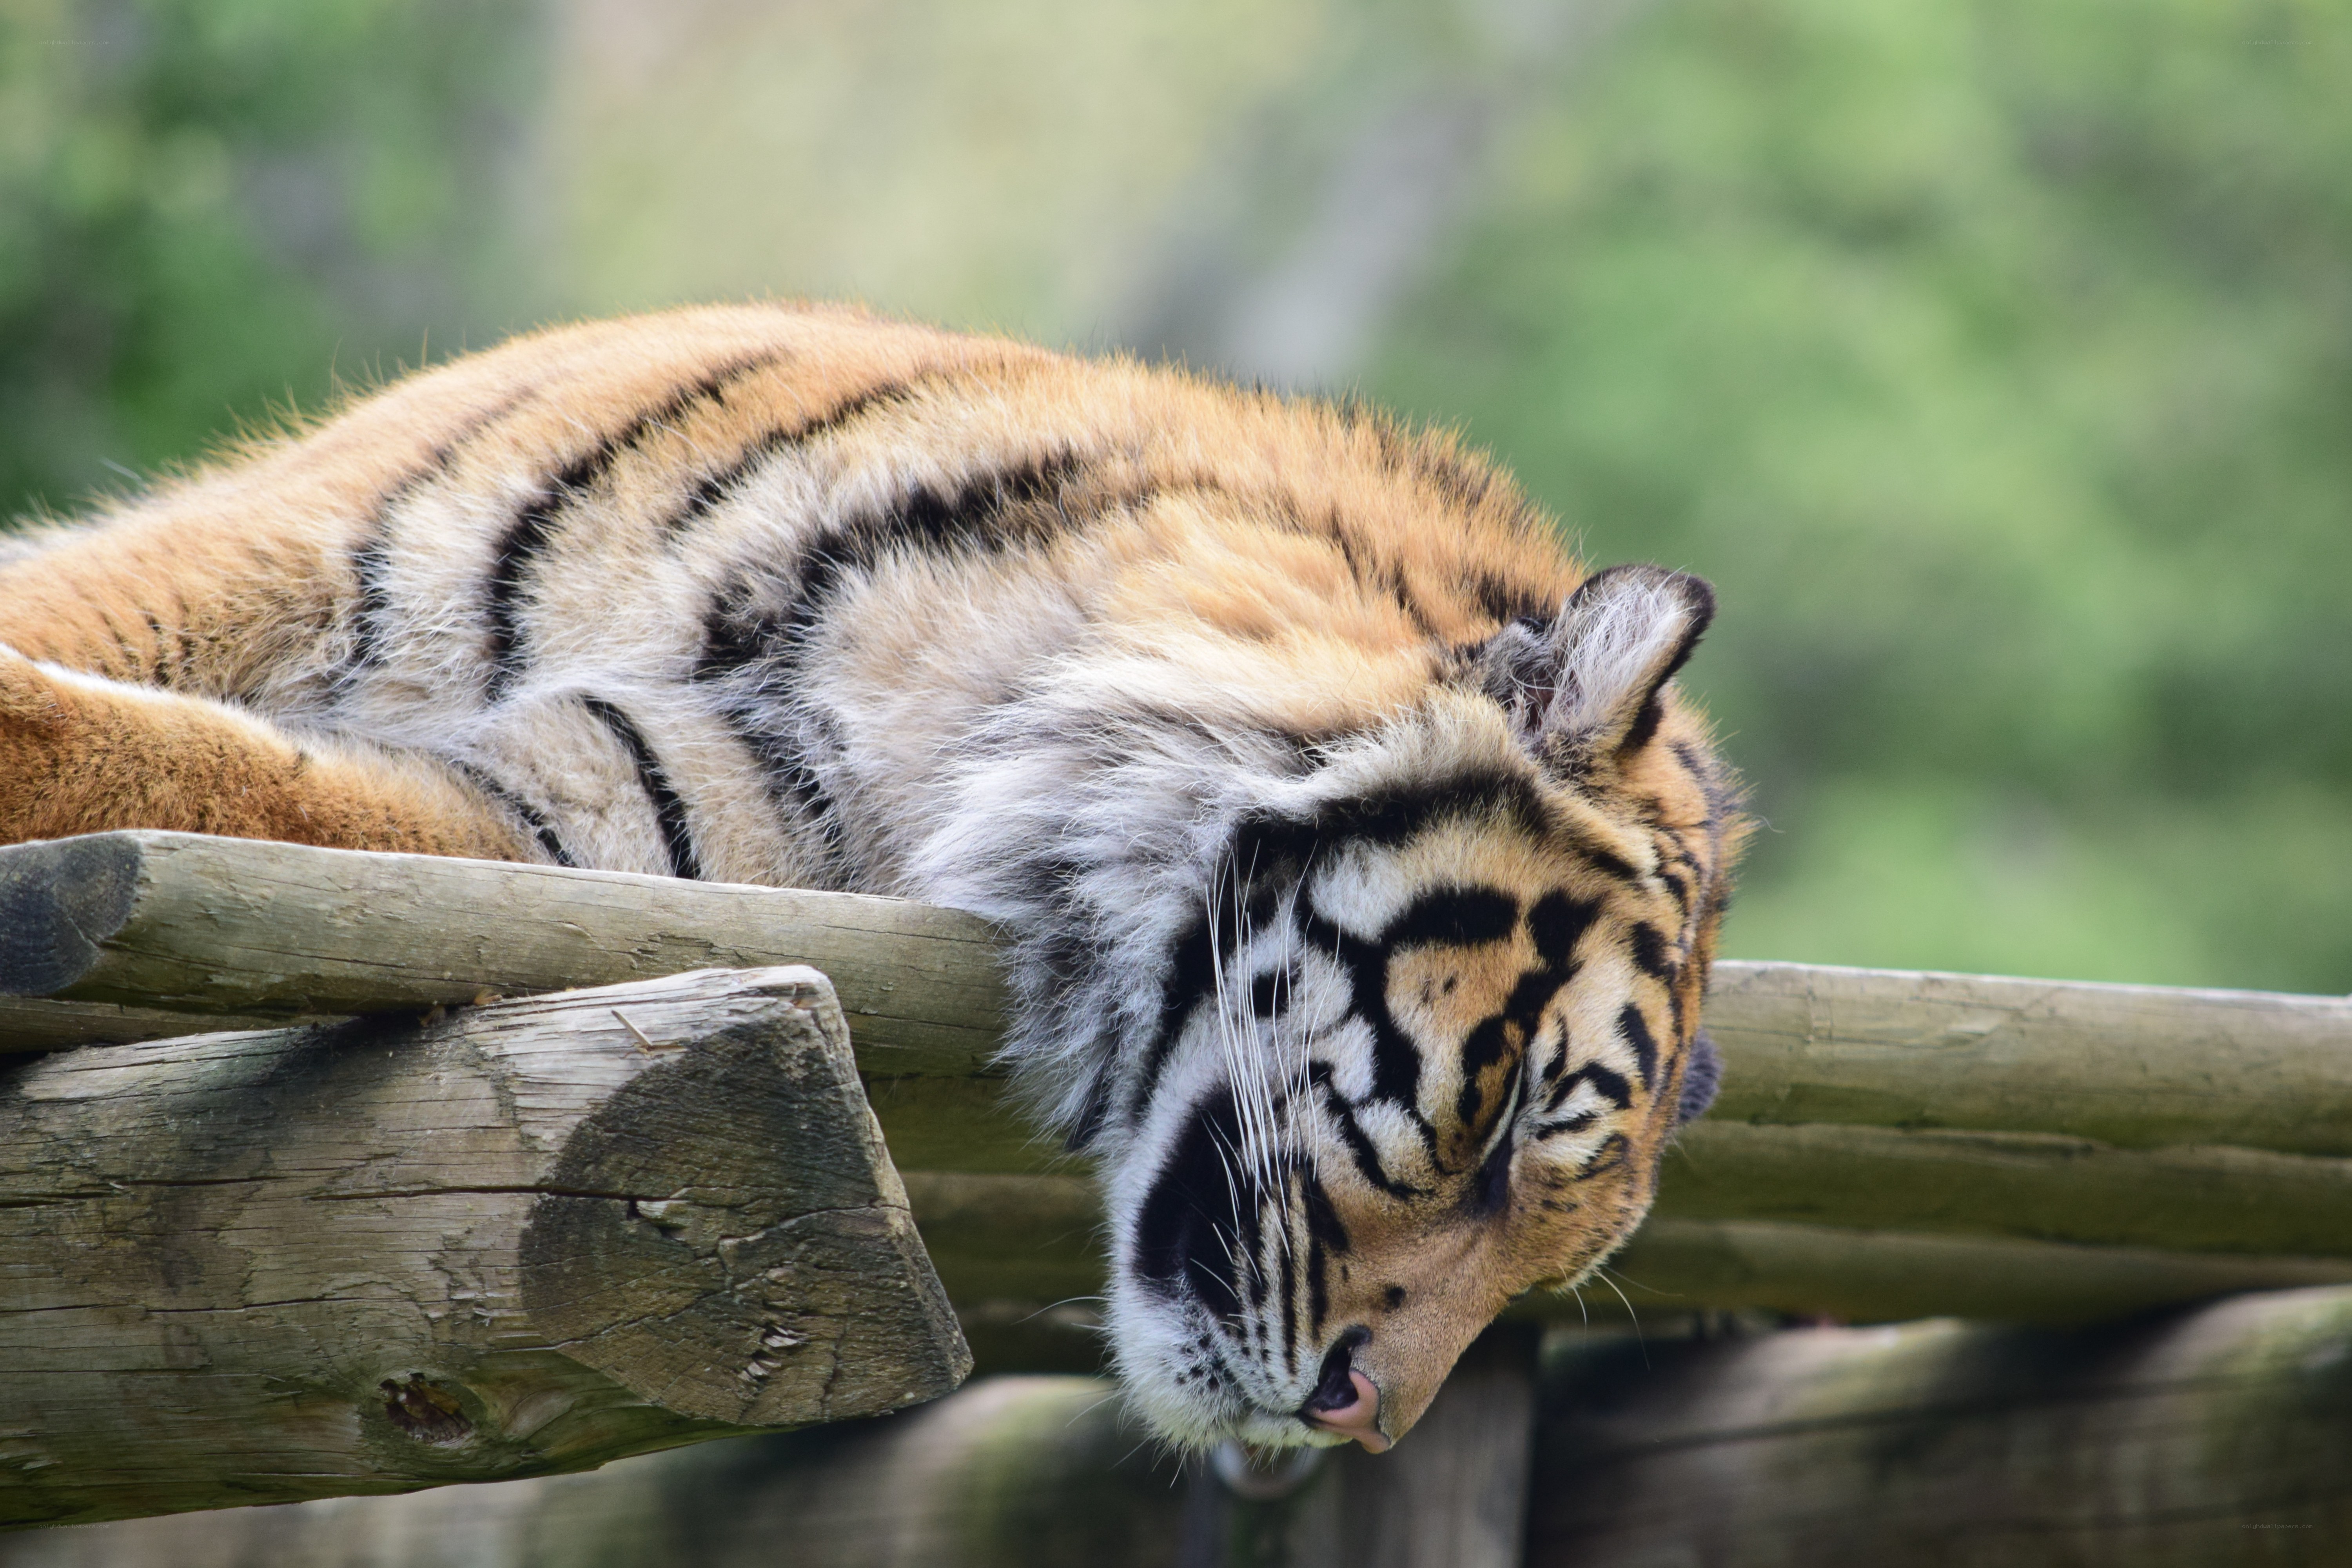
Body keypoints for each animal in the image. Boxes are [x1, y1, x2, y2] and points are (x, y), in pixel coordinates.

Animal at [0, 302, 1746, 1453]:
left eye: (1554, 1247)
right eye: (1511, 1122)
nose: (1361, 1421)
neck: (975, 699)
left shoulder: (571, 824)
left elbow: (239, 780)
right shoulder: (292, 539)